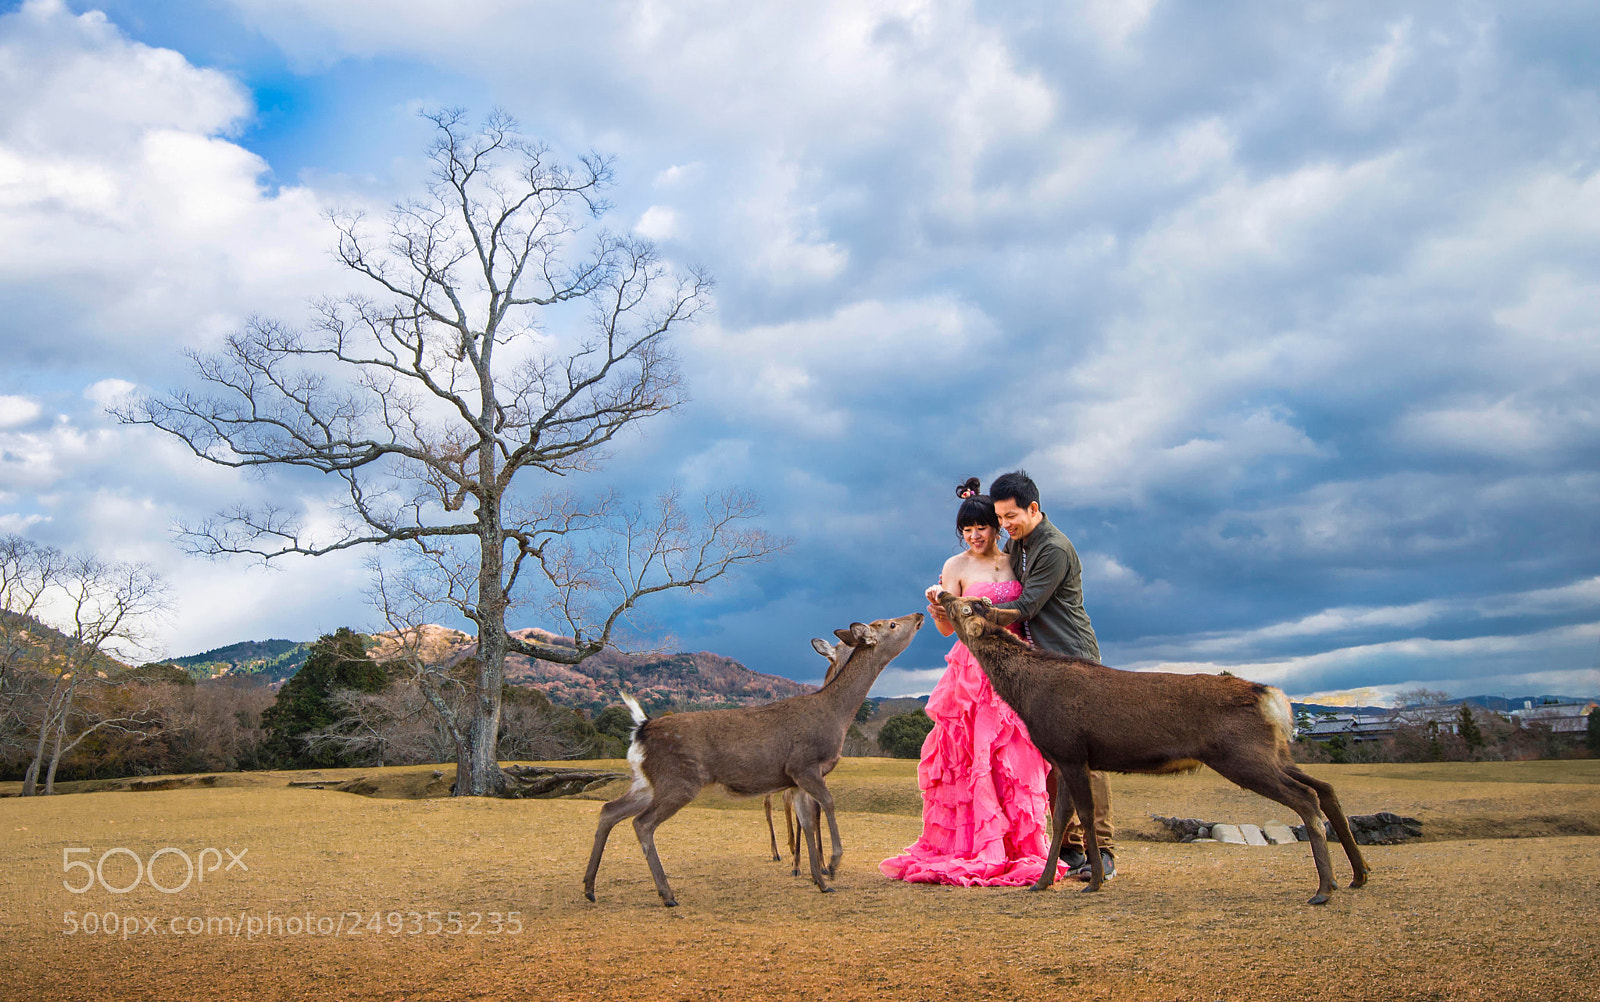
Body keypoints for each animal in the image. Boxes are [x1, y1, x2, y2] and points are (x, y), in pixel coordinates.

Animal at [583, 612, 923, 906]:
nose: (919, 615)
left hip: (646, 782)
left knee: (608, 810)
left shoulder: (795, 780)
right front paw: (834, 864)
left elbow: (806, 821)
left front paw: (821, 881)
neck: (836, 716)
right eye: (892, 624)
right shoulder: (804, 764)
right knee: (641, 823)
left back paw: (589, 888)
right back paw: (667, 894)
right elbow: (827, 803)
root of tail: (641, 729)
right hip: (678, 780)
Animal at [935, 591, 1369, 905]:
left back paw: (1323, 889)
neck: (1027, 697)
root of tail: (1274, 700)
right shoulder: (1061, 758)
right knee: (1325, 788)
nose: (941, 593)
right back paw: (1358, 876)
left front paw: (1094, 881)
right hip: (1275, 753)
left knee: (1307, 796)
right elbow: (1060, 819)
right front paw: (1041, 883)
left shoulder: (1072, 750)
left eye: (966, 605)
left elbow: (1086, 815)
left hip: (1243, 755)